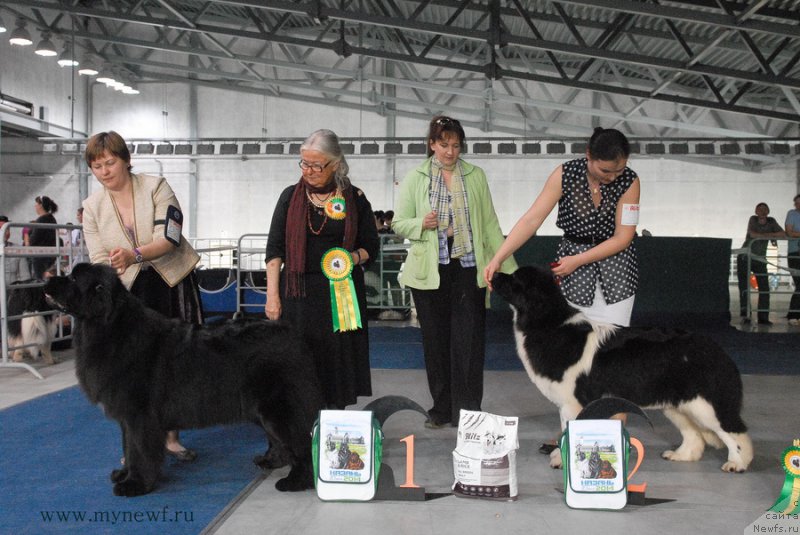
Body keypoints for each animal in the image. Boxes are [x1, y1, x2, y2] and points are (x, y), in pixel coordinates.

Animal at [43, 264, 324, 498]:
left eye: (72, 278)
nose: (46, 280)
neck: (110, 325)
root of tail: (292, 334)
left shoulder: (138, 415)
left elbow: (137, 449)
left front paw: (134, 485)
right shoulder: (126, 417)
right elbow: (127, 448)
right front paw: (123, 474)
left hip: (279, 406)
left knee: (300, 441)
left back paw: (296, 481)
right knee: (279, 439)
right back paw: (270, 461)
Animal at [490, 266, 752, 474]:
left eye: (515, 278)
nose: (493, 273)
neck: (549, 323)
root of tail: (717, 349)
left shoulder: (574, 403)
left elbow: (570, 433)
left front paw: (563, 461)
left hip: (705, 405)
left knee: (734, 431)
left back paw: (737, 463)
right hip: (678, 404)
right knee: (694, 434)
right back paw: (681, 455)